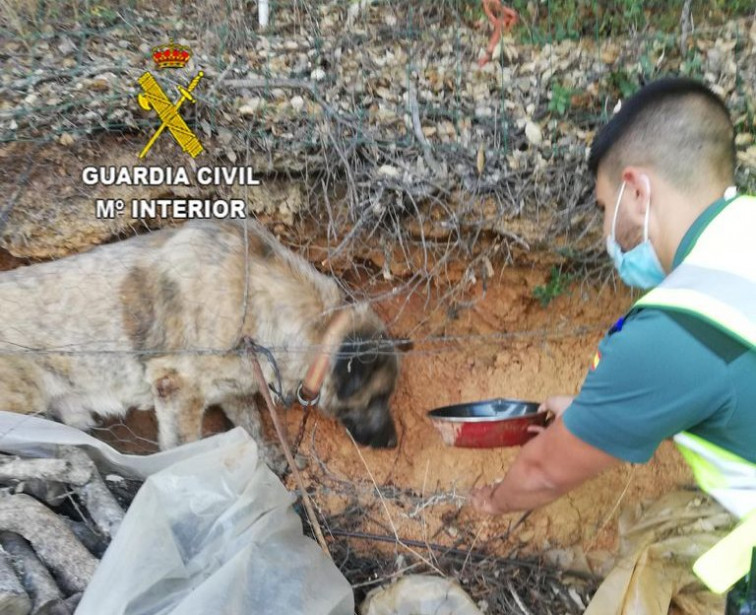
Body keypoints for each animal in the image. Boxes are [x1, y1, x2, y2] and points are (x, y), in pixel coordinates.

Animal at [0, 219, 402, 470]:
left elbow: (254, 427)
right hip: (22, 400)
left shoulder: (236, 389)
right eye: (378, 397)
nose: (394, 443)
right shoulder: (177, 389)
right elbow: (185, 448)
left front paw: (271, 460)